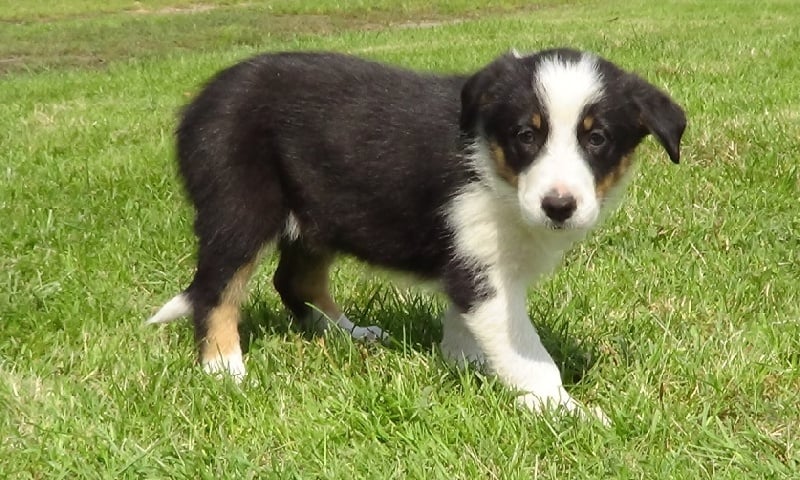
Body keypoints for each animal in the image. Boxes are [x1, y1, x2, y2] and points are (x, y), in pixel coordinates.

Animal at [147, 48, 686, 419]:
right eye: (526, 136)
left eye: (597, 139)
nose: (559, 206)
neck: (495, 171)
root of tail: (202, 98)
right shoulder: (482, 272)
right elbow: (527, 353)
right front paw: (565, 409)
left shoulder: (472, 266)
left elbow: (465, 328)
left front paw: (466, 365)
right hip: (239, 204)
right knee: (216, 289)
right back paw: (225, 370)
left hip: (321, 209)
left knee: (294, 281)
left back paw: (350, 333)